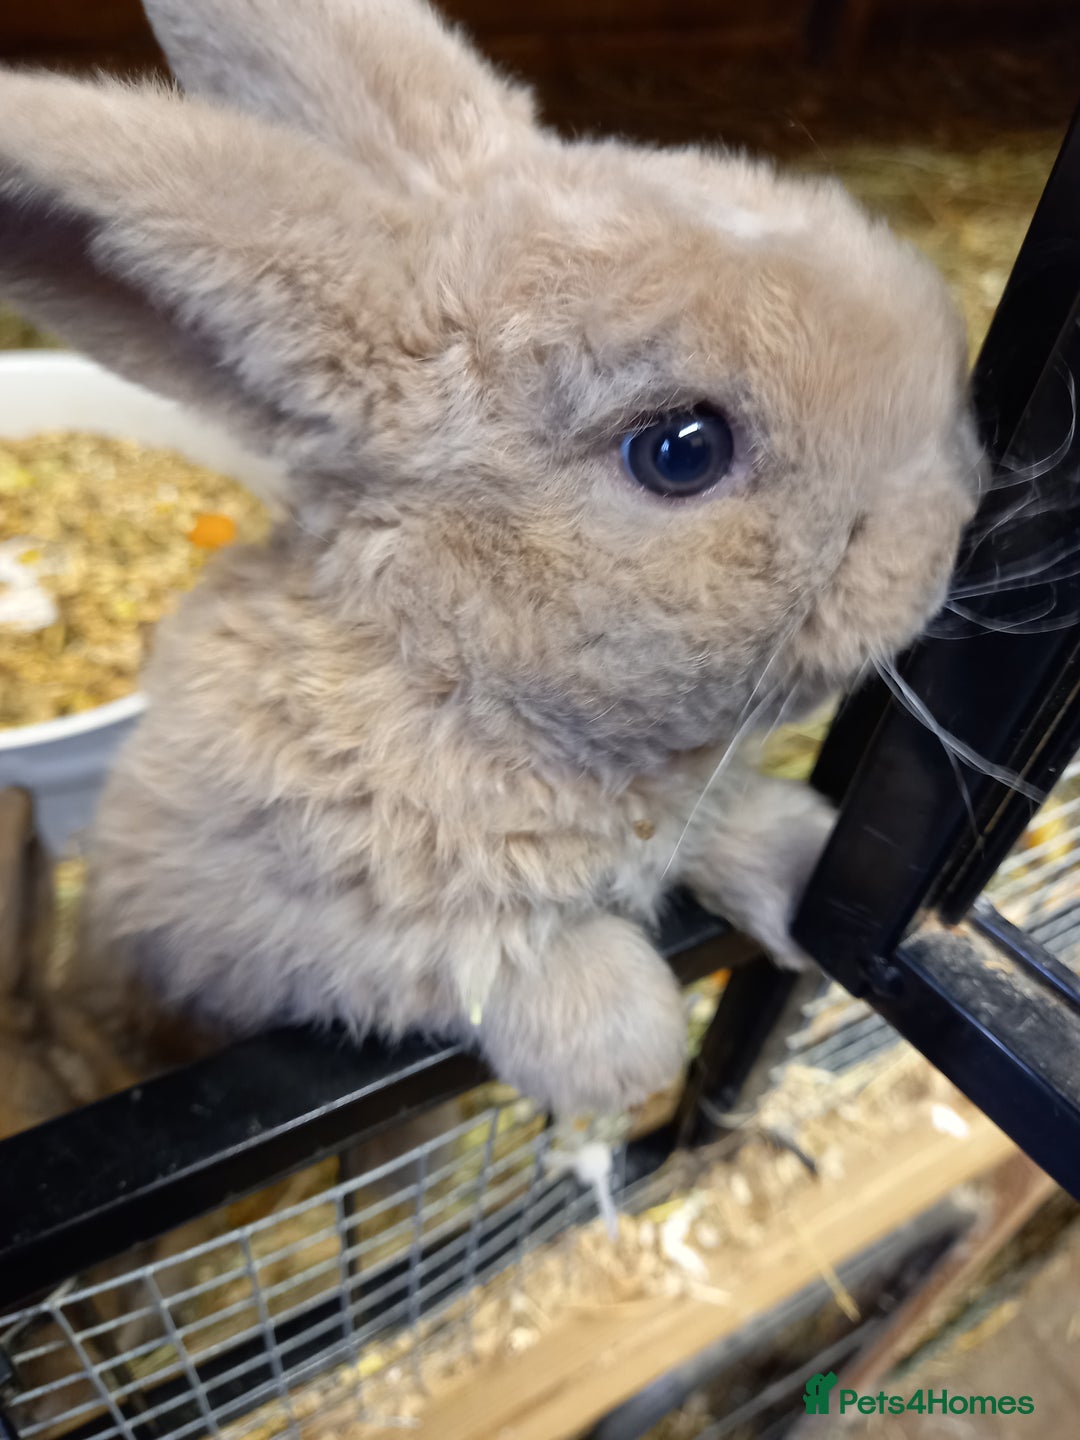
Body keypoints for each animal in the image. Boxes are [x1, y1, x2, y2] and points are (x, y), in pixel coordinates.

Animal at [0, 0, 981, 1121]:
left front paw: (804, 861)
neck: (455, 668)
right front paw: (624, 1050)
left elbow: (727, 829)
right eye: (681, 451)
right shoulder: (252, 928)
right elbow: (455, 955)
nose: (945, 528)